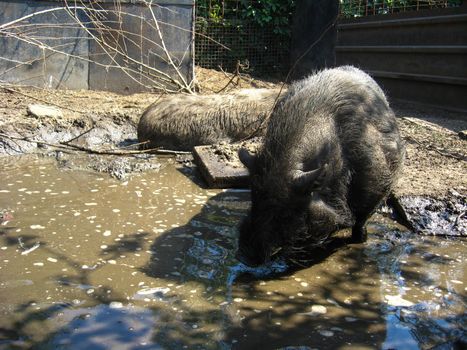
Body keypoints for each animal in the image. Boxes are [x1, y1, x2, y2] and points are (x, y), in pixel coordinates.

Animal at [238, 67, 406, 266]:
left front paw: (360, 240)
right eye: (253, 199)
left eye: (286, 212)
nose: (245, 257)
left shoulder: (380, 183)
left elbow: (361, 220)